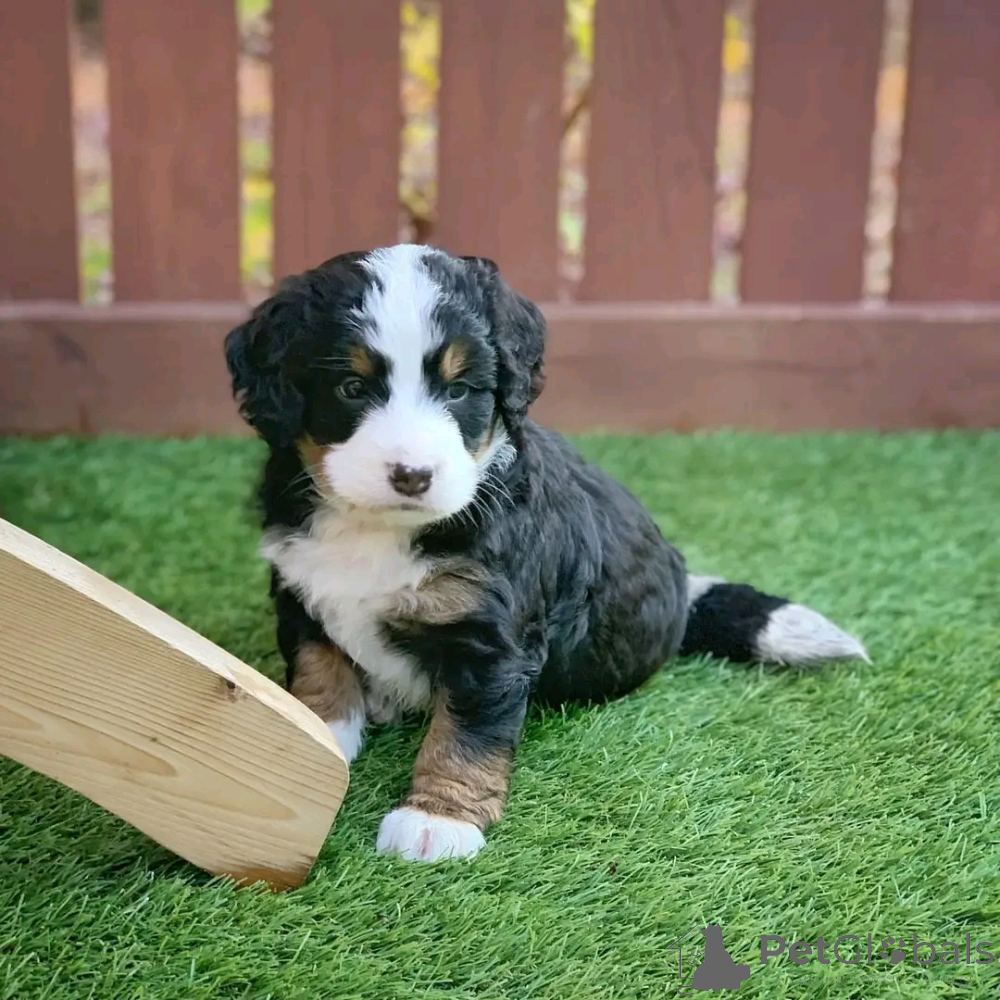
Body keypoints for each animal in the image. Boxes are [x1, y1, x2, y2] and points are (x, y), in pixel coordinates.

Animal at [224, 244, 868, 862]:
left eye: (459, 390)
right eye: (351, 389)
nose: (412, 475)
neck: (381, 529)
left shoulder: (490, 640)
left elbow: (466, 734)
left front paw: (438, 819)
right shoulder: (301, 591)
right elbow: (320, 673)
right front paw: (310, 739)